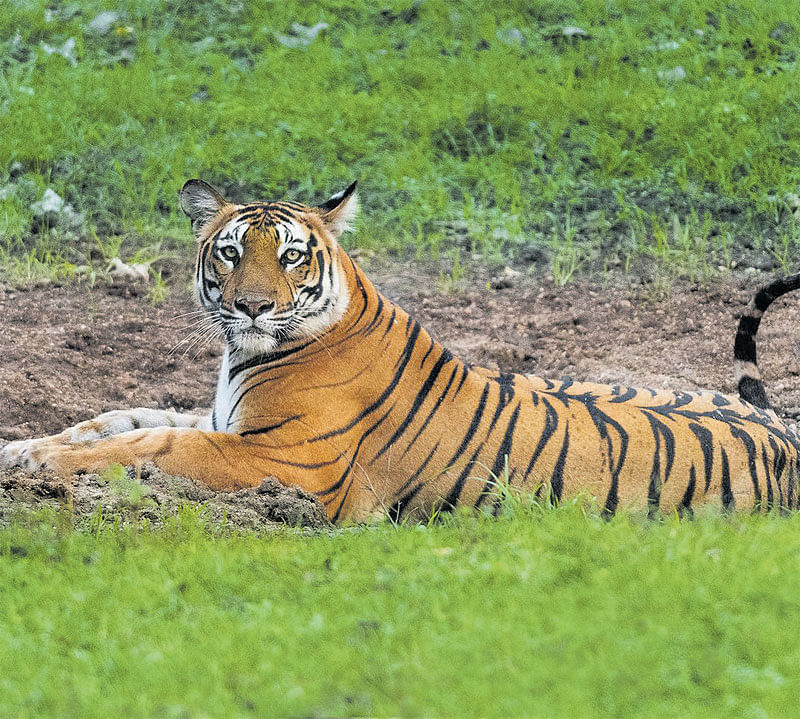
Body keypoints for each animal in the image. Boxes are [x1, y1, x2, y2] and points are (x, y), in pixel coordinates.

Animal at [1, 176, 800, 520]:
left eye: (289, 256)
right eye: (229, 253)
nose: (252, 305)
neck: (245, 353)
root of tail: (780, 423)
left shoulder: (282, 458)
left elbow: (153, 443)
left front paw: (45, 466)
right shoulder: (227, 419)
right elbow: (122, 417)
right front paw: (22, 447)